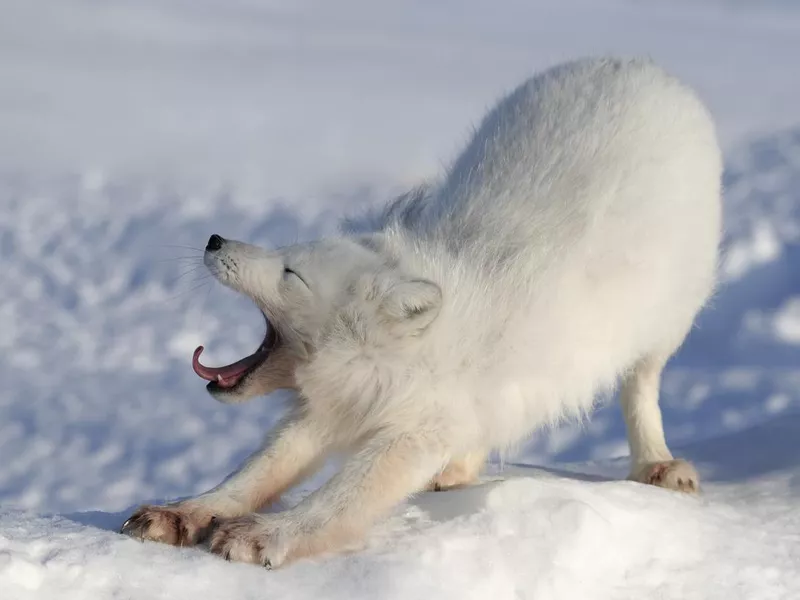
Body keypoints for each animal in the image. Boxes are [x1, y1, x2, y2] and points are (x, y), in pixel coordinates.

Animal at [122, 56, 720, 568]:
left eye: (291, 273)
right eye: (285, 252)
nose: (215, 239)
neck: (389, 357)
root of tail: (635, 63)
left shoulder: (414, 431)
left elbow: (343, 497)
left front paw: (268, 535)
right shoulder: (333, 408)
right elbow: (255, 473)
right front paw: (184, 513)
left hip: (664, 325)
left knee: (641, 386)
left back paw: (656, 463)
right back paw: (458, 472)